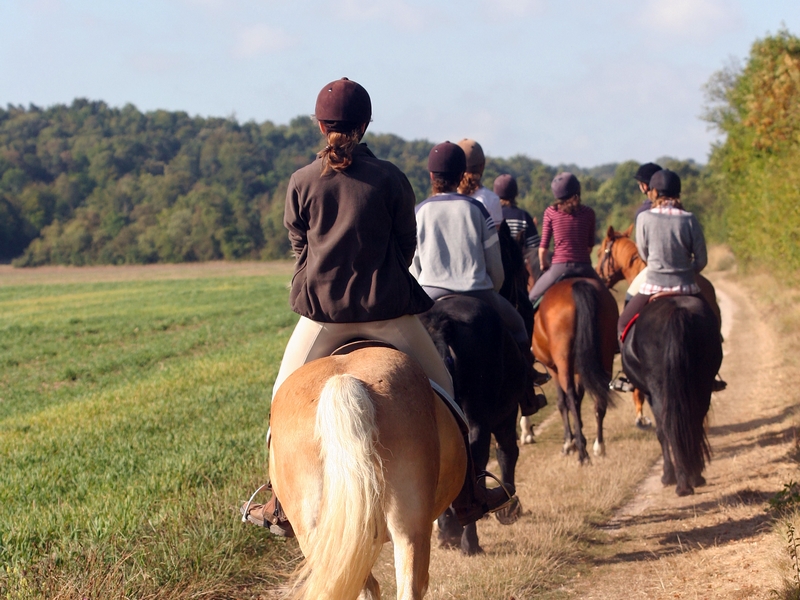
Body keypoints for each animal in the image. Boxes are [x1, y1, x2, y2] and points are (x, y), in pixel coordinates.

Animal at [532, 278, 620, 464]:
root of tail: (577, 284)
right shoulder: (580, 370)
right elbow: (579, 400)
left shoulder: (554, 369)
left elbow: (563, 402)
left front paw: (569, 443)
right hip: (606, 353)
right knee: (600, 399)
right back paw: (598, 447)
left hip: (563, 361)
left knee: (570, 398)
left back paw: (582, 454)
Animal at [620, 296, 724, 496]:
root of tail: (677, 311)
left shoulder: (650, 394)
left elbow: (661, 432)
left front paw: (667, 476)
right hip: (702, 384)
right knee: (693, 423)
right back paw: (694, 476)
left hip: (659, 389)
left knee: (668, 428)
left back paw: (682, 482)